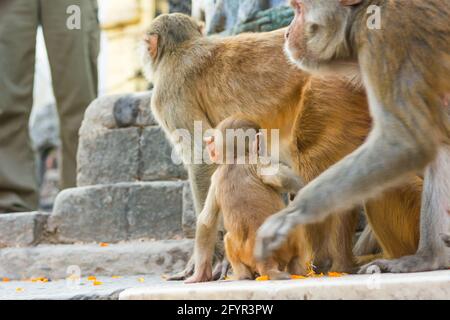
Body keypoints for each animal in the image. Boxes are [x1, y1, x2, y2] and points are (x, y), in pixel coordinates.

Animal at [142, 12, 426, 278]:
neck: (183, 47)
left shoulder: (168, 92)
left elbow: (200, 159)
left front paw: (211, 259)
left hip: (333, 89)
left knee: (311, 157)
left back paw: (324, 262)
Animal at [256, 0, 450, 276]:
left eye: (298, 8)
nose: (286, 33)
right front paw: (427, 258)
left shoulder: (386, 37)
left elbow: (406, 142)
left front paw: (294, 213)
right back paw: (429, 256)